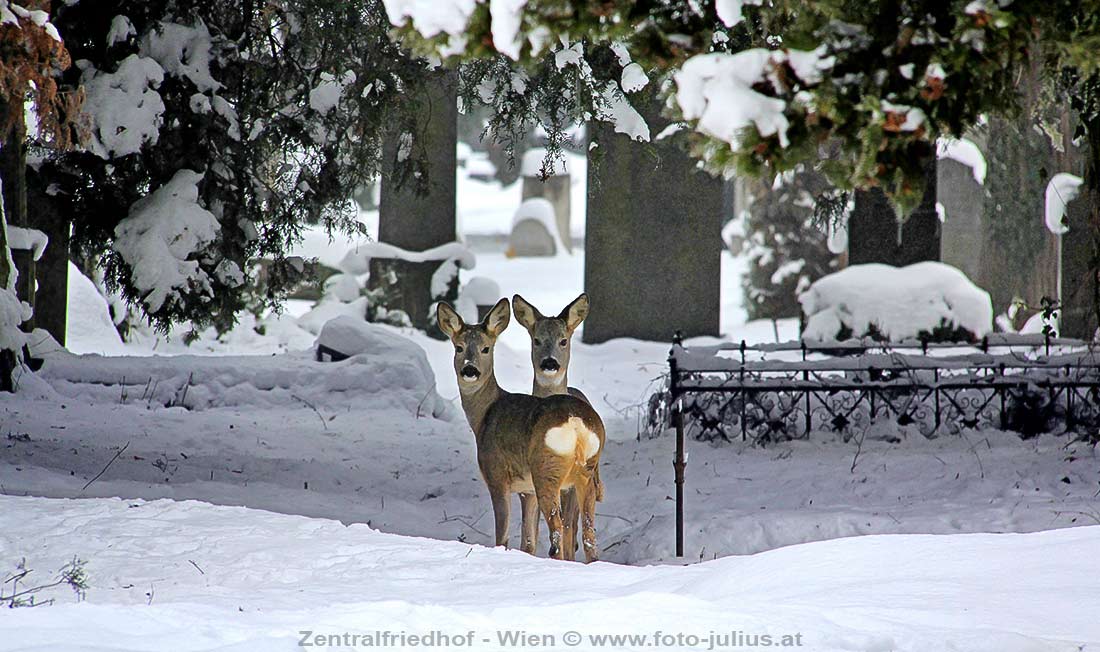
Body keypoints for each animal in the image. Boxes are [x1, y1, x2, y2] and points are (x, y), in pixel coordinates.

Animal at [437, 299, 611, 558]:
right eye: (458, 348)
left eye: (486, 349)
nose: (470, 370)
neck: (484, 415)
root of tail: (575, 422)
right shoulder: (526, 489)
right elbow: (528, 541)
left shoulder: (497, 475)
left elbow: (503, 535)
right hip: (586, 470)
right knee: (588, 535)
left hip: (546, 468)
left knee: (558, 529)